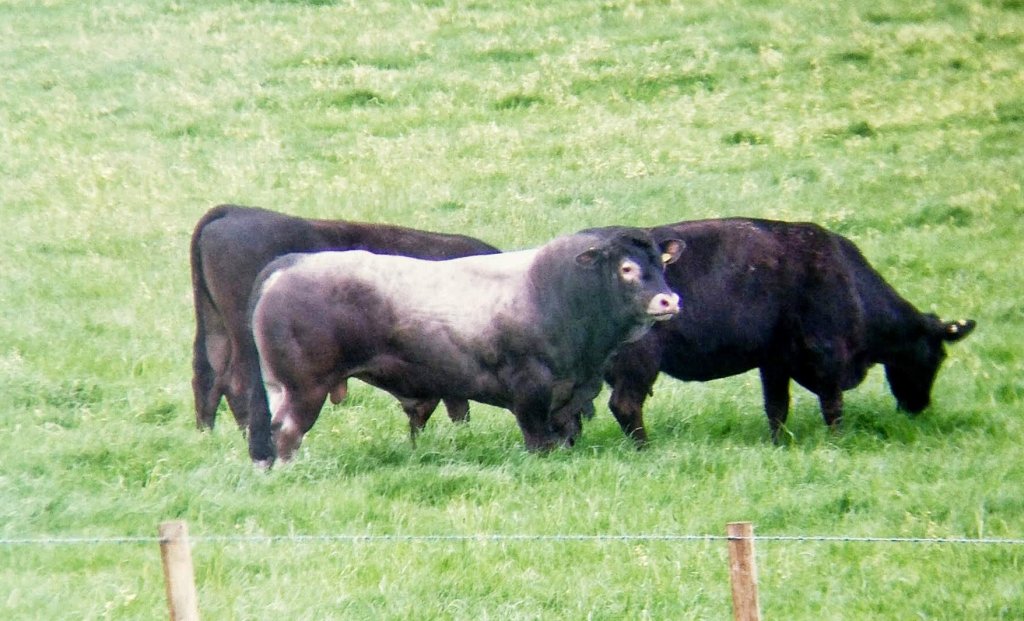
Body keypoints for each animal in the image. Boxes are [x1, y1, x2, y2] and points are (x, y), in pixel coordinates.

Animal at [246, 227, 683, 465]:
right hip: (304, 388)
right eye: (626, 268)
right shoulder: (530, 391)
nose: (669, 300)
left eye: (661, 265)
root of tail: (291, 264)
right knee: (286, 431)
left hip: (282, 388)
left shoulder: (570, 396)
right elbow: (538, 440)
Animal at [604, 217, 976, 445]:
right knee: (625, 405)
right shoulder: (828, 355)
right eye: (937, 356)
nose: (919, 406)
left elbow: (777, 407)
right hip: (639, 363)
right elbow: (832, 405)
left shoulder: (774, 362)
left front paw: (779, 444)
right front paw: (837, 441)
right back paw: (646, 448)